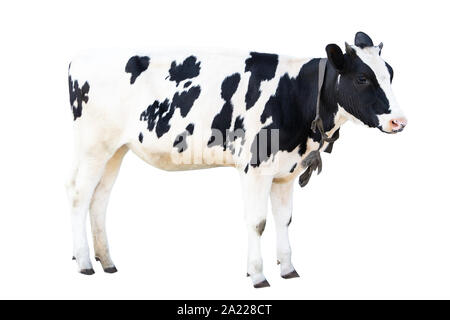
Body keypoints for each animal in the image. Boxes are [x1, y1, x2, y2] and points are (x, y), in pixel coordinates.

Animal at [67, 31, 408, 288]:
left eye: (390, 73)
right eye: (363, 78)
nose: (399, 121)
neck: (295, 94)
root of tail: (80, 57)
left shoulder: (285, 171)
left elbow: (284, 219)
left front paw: (288, 269)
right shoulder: (255, 168)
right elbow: (257, 222)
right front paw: (257, 275)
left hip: (115, 149)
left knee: (99, 199)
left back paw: (106, 261)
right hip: (93, 146)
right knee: (79, 197)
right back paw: (84, 262)